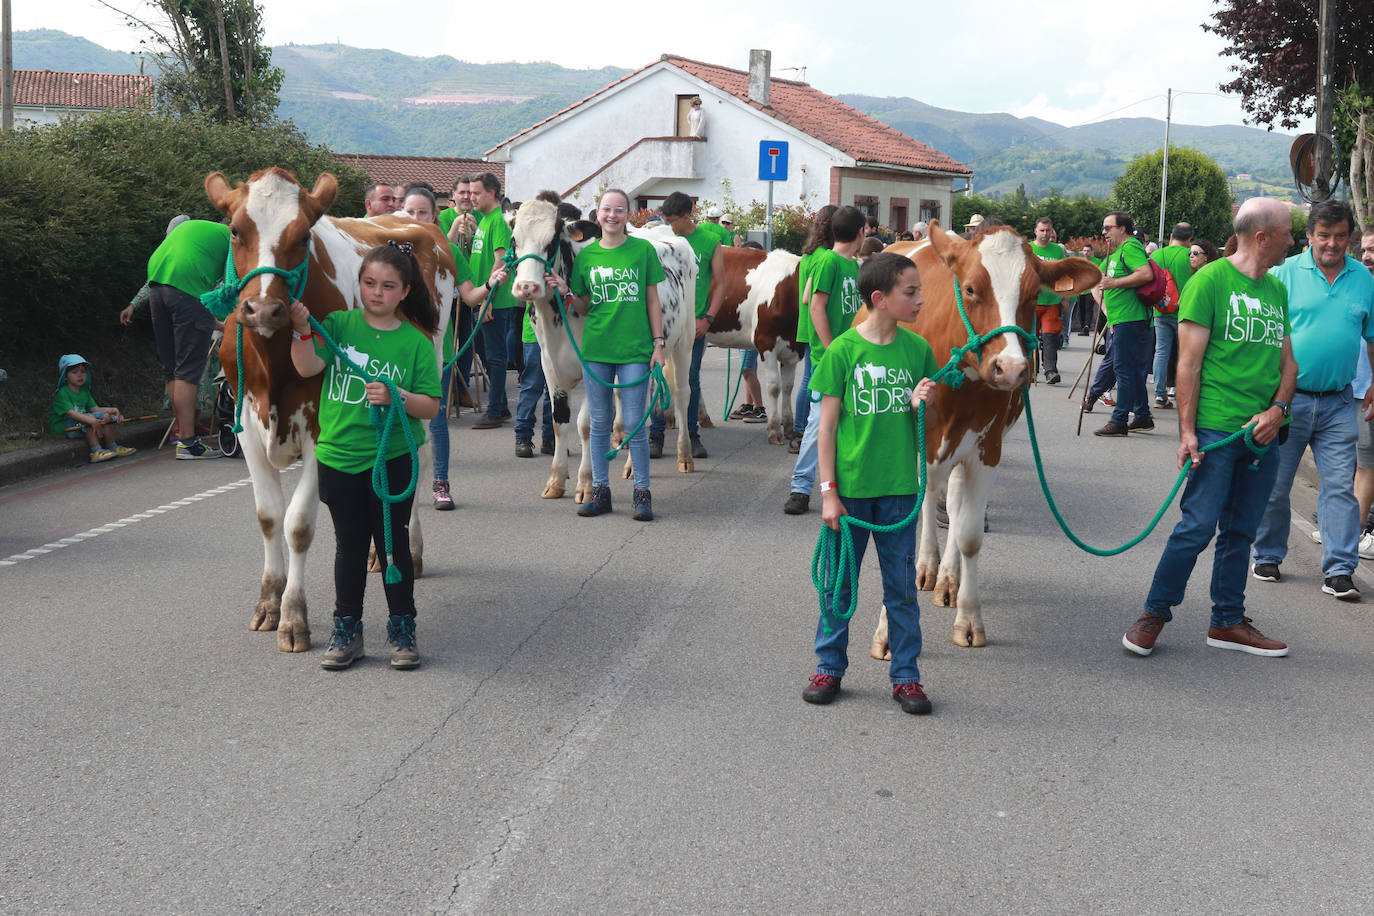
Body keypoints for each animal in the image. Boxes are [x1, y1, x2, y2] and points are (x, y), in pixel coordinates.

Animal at [508, 199, 697, 502]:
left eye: (552, 241)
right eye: (514, 240)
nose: (527, 286)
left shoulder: (591, 366)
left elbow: (587, 424)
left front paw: (586, 483)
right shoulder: (549, 363)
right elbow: (560, 420)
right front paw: (556, 479)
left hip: (685, 340)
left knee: (681, 394)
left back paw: (684, 456)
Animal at [708, 245, 802, 442]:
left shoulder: (794, 348)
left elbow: (788, 386)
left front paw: (789, 427)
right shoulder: (766, 341)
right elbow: (774, 386)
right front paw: (775, 430)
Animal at [862, 221, 1099, 650]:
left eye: (1033, 295)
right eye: (970, 288)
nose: (1011, 368)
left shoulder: (988, 449)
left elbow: (969, 533)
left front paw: (969, 618)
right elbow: (901, 532)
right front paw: (888, 629)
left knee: (952, 505)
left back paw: (947, 579)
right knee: (930, 499)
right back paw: (927, 567)